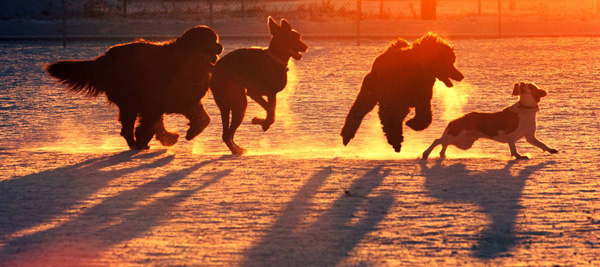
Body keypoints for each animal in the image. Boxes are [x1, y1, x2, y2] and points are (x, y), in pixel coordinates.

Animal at [45, 26, 223, 151]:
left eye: (216, 40)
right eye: (211, 41)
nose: (221, 46)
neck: (189, 61)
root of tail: (103, 60)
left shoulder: (187, 101)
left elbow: (204, 119)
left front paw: (190, 132)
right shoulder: (155, 104)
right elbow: (148, 126)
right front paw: (145, 141)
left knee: (130, 127)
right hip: (130, 103)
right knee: (129, 128)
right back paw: (141, 143)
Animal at [209, 16, 308, 155]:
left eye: (299, 37)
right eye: (293, 38)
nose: (306, 47)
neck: (274, 59)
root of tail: (214, 70)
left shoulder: (272, 94)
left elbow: (272, 111)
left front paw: (262, 122)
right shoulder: (253, 92)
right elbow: (271, 112)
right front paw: (261, 122)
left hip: (228, 105)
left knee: (227, 134)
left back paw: (237, 149)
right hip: (240, 102)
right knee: (227, 134)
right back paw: (236, 150)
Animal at [422, 81, 556, 160]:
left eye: (530, 85)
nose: (521, 83)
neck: (526, 109)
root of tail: (454, 120)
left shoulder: (529, 137)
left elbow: (542, 144)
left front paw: (551, 150)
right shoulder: (510, 136)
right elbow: (513, 149)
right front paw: (519, 156)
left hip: (463, 142)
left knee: (445, 143)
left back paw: (442, 155)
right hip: (457, 134)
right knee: (437, 140)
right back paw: (425, 154)